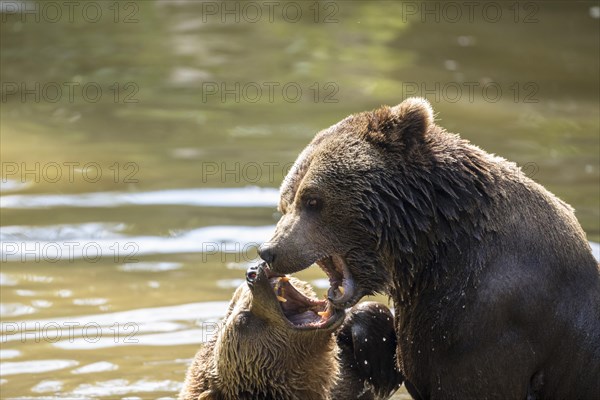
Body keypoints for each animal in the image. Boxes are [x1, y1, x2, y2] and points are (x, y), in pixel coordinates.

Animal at [262, 97, 600, 400]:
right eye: (286, 201)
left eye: (312, 200)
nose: (269, 250)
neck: (433, 250)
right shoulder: (423, 316)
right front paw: (366, 332)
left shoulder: (492, 321)